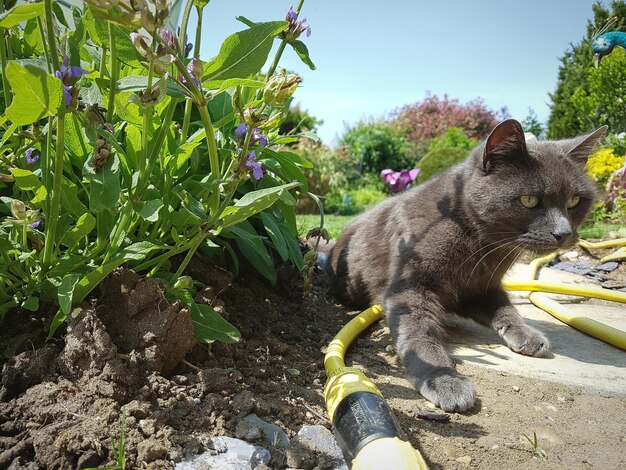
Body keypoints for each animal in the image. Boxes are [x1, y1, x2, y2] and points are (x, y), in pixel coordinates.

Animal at [324, 120, 608, 412]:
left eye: (574, 201)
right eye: (530, 200)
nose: (564, 233)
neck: (481, 244)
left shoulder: (482, 287)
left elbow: (506, 309)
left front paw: (525, 334)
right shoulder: (410, 286)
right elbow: (419, 333)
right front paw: (443, 380)